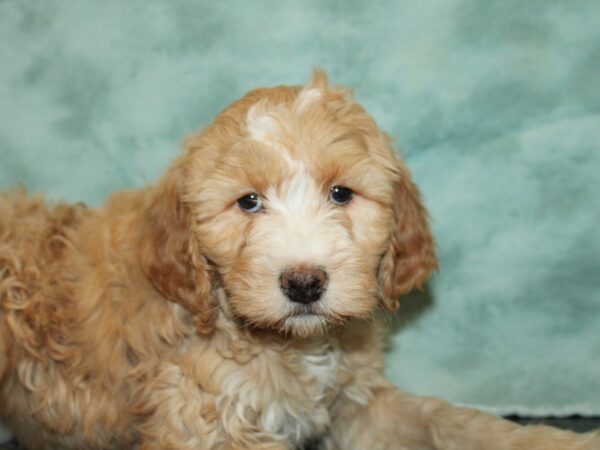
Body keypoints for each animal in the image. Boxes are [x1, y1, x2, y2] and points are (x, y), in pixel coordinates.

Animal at [0, 72, 596, 448]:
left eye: (341, 194)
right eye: (248, 202)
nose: (304, 283)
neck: (292, 346)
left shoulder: (357, 405)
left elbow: (447, 421)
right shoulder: (203, 422)